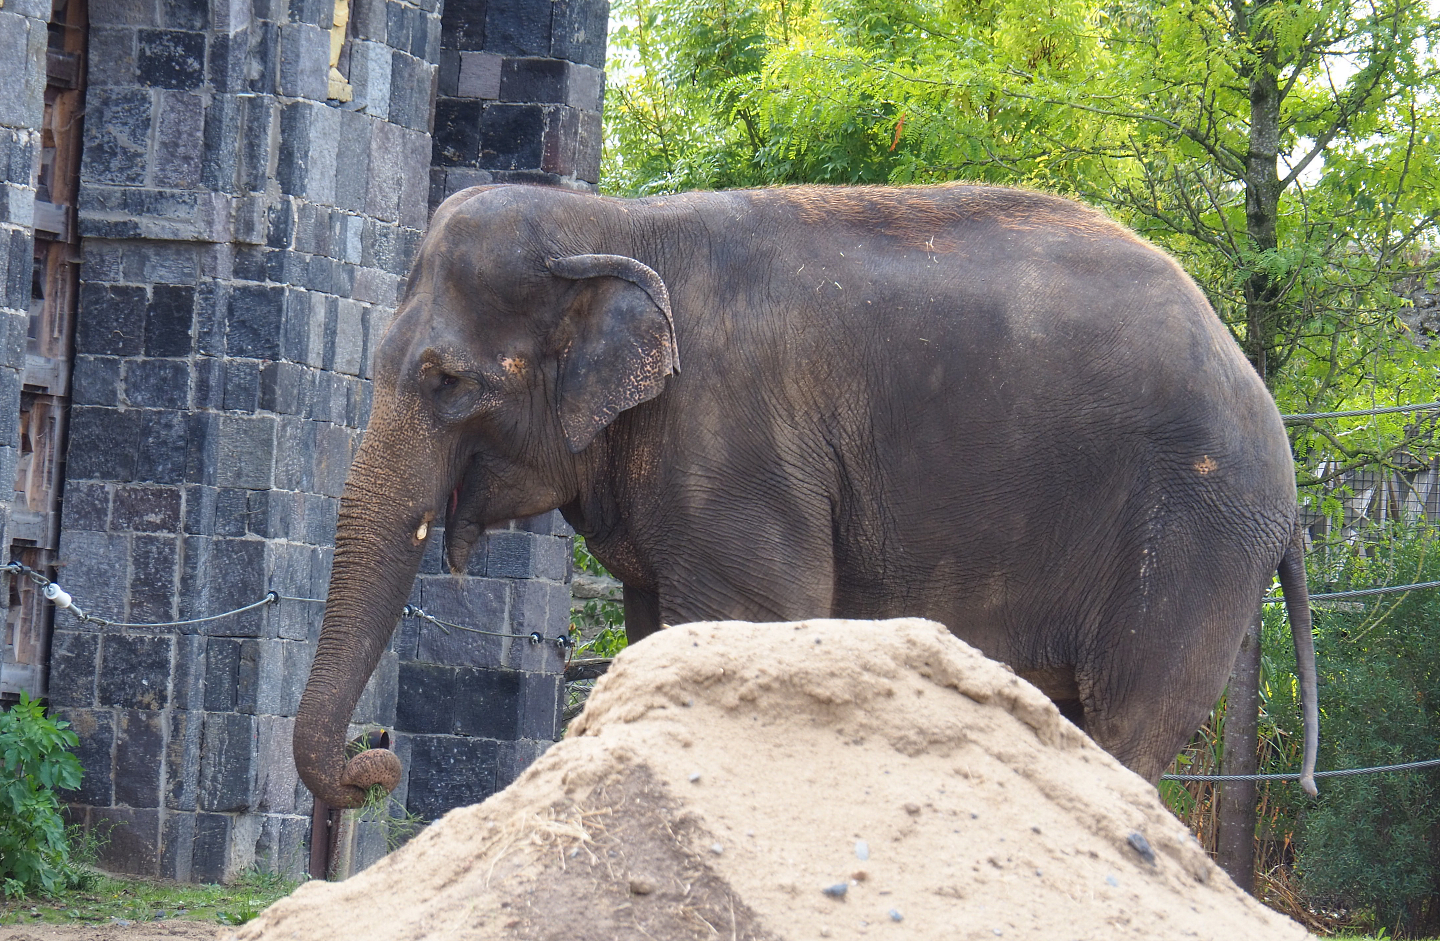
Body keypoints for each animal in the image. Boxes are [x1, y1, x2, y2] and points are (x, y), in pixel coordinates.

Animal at [293, 182, 1319, 809]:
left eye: (445, 383)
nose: (377, 760)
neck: (611, 221)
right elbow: (659, 634)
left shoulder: (738, 446)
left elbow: (751, 618)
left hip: (1196, 538)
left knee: (1126, 724)